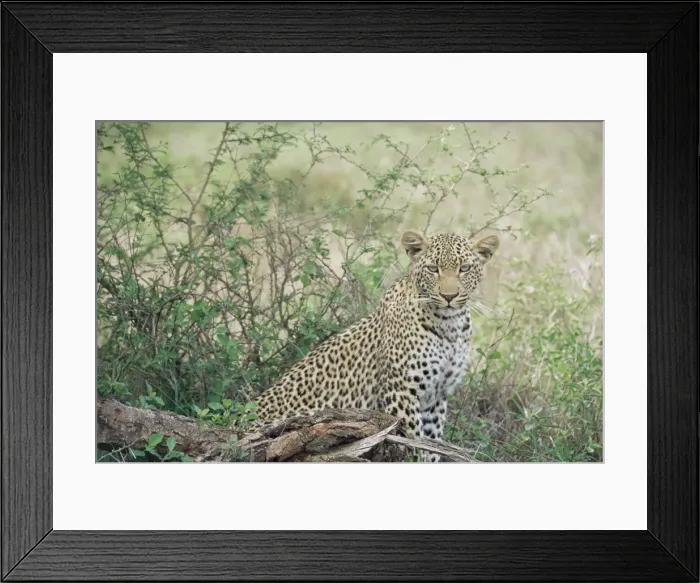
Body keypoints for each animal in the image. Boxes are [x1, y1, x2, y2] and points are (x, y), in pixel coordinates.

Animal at [253, 229, 500, 462]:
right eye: (433, 268)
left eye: (464, 268)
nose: (449, 296)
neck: (450, 325)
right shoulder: (400, 393)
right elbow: (412, 442)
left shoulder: (436, 397)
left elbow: (432, 445)